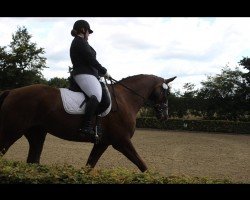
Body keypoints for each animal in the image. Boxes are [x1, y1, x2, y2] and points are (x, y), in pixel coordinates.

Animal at [0, 74, 176, 171]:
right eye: (166, 92)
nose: (165, 116)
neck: (125, 99)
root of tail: (11, 92)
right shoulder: (122, 142)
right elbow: (143, 165)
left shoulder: (103, 143)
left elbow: (89, 166)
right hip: (11, 131)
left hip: (36, 134)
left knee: (33, 161)